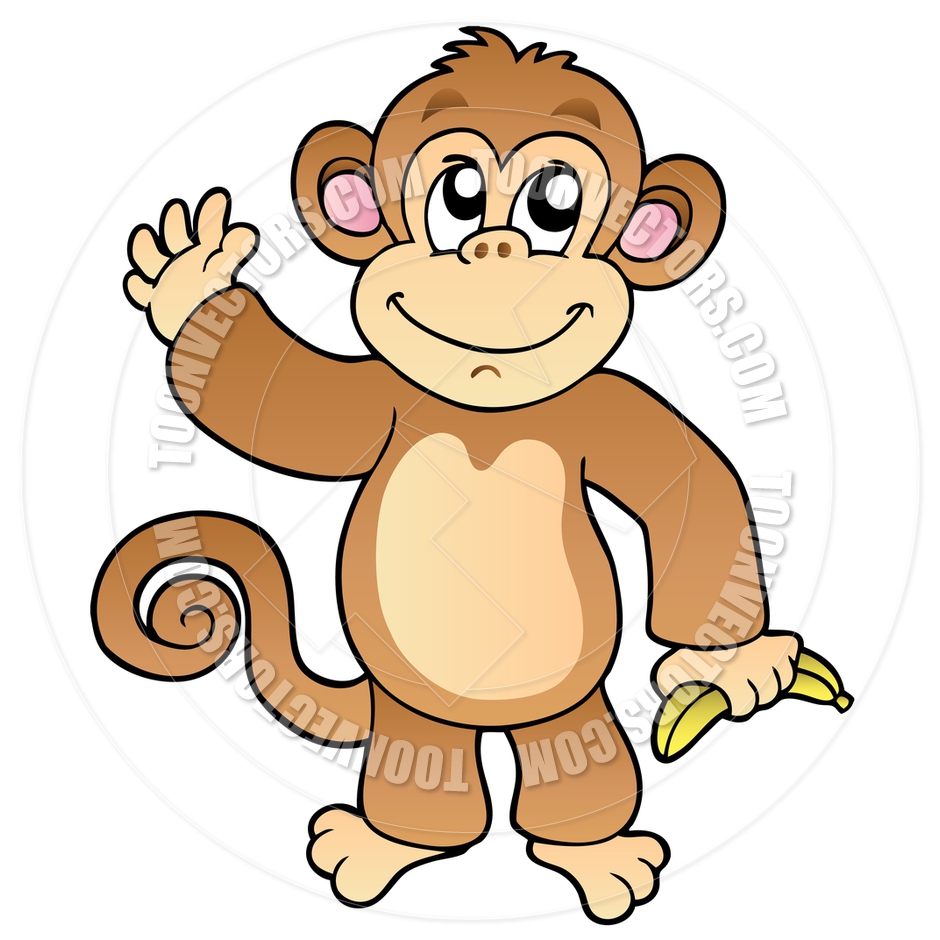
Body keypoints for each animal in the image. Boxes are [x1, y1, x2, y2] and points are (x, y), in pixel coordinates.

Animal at [93, 28, 804, 924]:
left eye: (553, 207)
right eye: (459, 195)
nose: (493, 246)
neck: (485, 411)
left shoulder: (617, 410)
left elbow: (690, 486)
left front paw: (731, 666)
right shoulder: (378, 400)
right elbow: (266, 405)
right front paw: (193, 278)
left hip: (574, 705)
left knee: (577, 767)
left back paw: (599, 855)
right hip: (409, 713)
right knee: (428, 782)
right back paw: (383, 843)